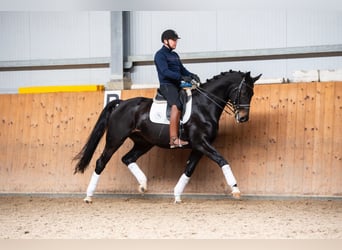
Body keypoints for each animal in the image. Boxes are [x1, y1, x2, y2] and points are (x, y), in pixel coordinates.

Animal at [74, 70, 262, 203]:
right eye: (243, 92)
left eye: (252, 94)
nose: (243, 118)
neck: (204, 105)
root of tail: (121, 104)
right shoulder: (201, 143)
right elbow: (222, 160)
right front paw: (235, 189)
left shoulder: (199, 146)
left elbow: (189, 169)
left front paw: (177, 195)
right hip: (115, 139)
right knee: (101, 162)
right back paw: (89, 196)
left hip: (144, 143)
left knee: (127, 158)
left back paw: (143, 185)